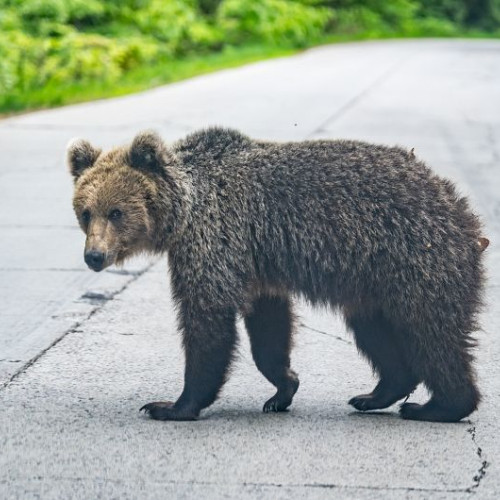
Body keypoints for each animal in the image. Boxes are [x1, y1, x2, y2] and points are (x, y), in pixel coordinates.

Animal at [67, 128, 488, 422]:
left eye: (117, 212)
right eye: (85, 212)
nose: (94, 256)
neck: (186, 209)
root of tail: (461, 210)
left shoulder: (216, 239)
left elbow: (207, 320)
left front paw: (171, 405)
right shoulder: (255, 264)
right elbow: (268, 329)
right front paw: (282, 388)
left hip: (415, 259)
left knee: (431, 332)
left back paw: (438, 406)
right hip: (373, 283)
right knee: (373, 329)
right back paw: (373, 395)